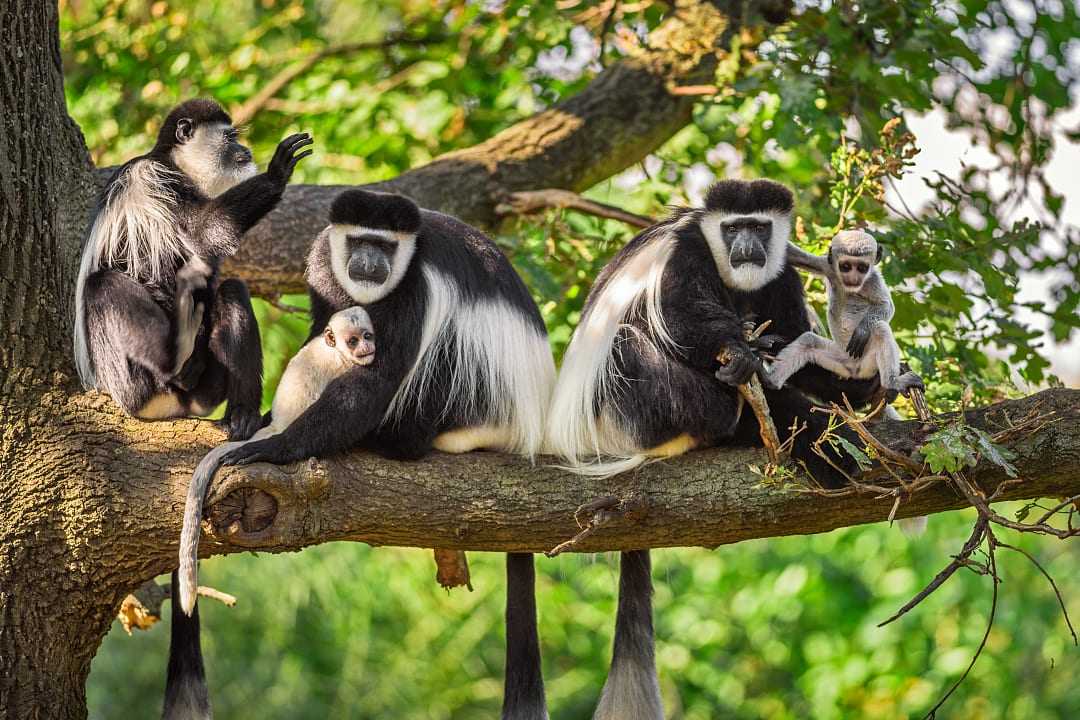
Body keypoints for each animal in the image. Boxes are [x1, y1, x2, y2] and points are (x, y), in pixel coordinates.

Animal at [73, 99, 313, 442]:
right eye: (230, 137)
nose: (245, 149)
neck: (175, 163)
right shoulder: (156, 180)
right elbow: (204, 230)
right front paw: (277, 173)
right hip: (127, 378)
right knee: (104, 284)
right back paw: (175, 364)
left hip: (206, 388)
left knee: (232, 291)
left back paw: (242, 416)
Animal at [548, 179, 876, 720]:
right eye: (731, 228)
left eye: (758, 227)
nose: (745, 247)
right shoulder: (685, 255)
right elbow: (680, 318)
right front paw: (741, 353)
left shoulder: (781, 272)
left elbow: (794, 338)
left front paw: (856, 383)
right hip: (625, 410)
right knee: (629, 342)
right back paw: (735, 403)